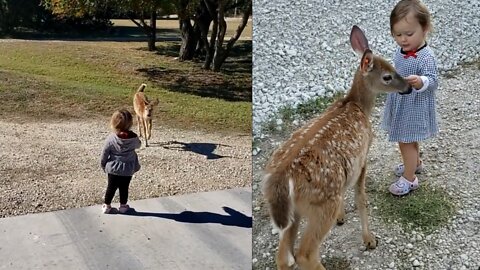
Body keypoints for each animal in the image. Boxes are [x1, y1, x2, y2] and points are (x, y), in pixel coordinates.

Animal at [262, 24, 408, 268]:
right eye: (387, 76)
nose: (407, 87)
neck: (356, 105)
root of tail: (281, 178)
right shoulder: (363, 157)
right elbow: (361, 198)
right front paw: (369, 240)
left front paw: (342, 217)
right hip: (322, 203)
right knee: (305, 253)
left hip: (294, 212)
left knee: (283, 257)